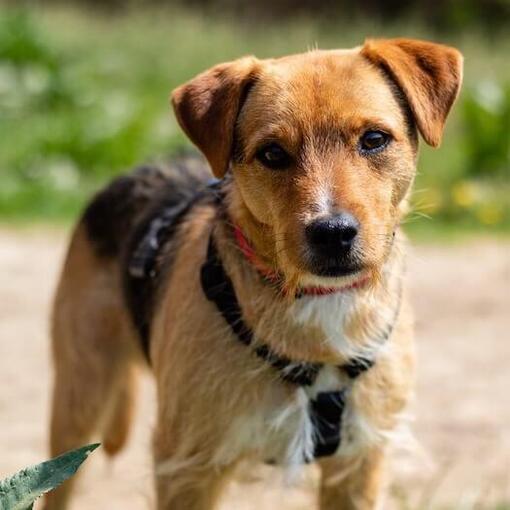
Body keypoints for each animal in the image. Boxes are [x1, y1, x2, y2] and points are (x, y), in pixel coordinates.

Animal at [45, 37, 464, 508]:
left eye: (374, 139)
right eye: (273, 153)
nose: (333, 232)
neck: (318, 302)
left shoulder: (358, 462)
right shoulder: (188, 466)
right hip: (78, 399)